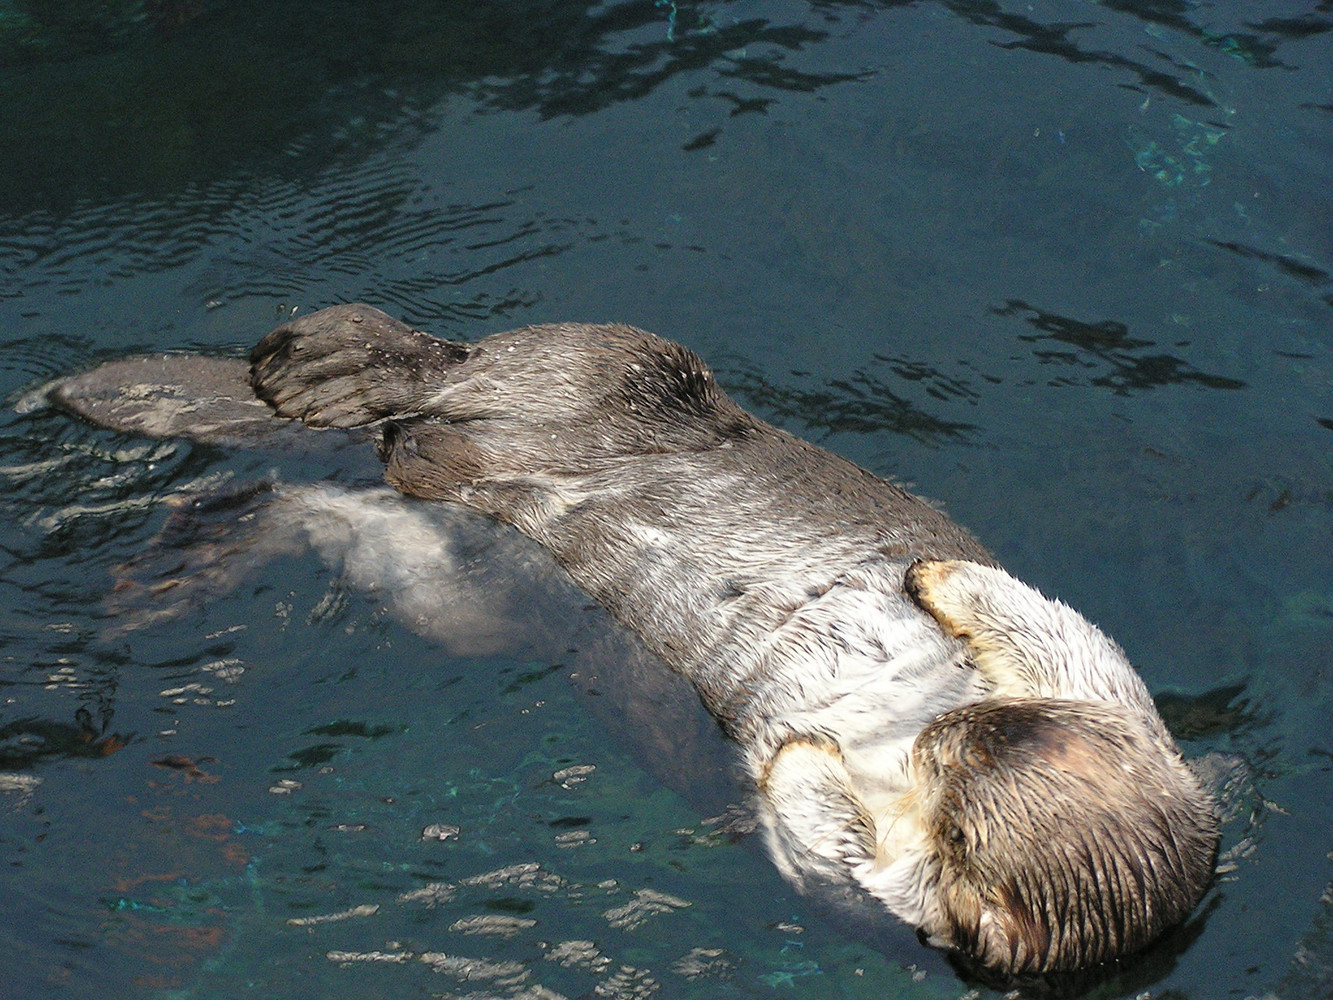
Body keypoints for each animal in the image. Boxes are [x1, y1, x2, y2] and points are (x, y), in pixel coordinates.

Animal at [55, 304, 1219, 979]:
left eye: (959, 797)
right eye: (978, 731)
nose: (946, 729)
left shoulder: (895, 903)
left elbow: (814, 826)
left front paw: (801, 749)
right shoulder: (1116, 693)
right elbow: (1059, 631)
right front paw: (933, 581)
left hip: (459, 573)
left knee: (352, 484)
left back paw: (213, 527)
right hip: (619, 370)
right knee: (459, 359)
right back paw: (326, 359)